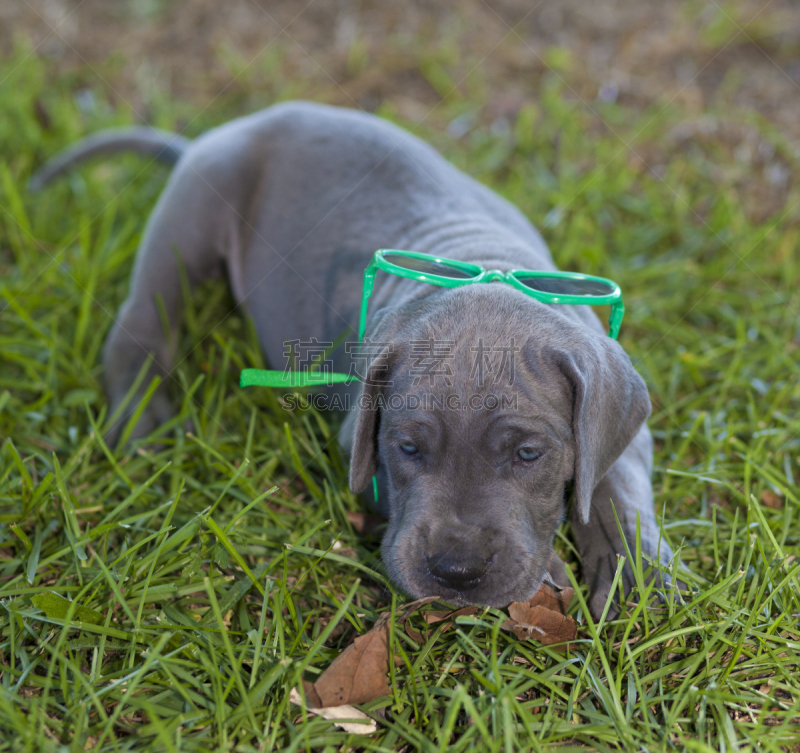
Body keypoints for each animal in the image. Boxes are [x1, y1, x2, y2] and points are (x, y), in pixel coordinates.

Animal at [36, 100, 676, 616]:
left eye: (528, 454)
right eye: (407, 448)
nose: (457, 572)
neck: (485, 262)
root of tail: (225, 129)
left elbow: (616, 483)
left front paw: (636, 570)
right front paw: (554, 572)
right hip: (189, 219)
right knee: (139, 323)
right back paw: (146, 419)